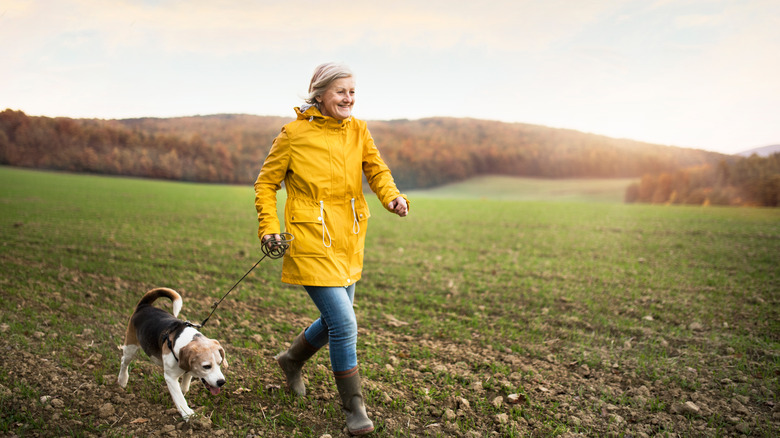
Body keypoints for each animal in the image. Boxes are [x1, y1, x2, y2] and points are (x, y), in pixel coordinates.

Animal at [116, 288, 227, 420]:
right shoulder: (170, 377)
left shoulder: (188, 369)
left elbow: (184, 386)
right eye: (206, 366)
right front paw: (188, 414)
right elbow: (179, 397)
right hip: (131, 347)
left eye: (220, 363)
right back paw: (122, 380)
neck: (187, 340)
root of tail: (144, 305)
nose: (221, 382)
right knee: (124, 361)